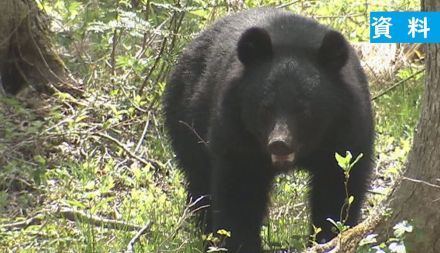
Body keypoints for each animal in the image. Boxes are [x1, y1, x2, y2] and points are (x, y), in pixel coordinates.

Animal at [163, 6, 372, 252]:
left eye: (303, 109)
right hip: (187, 117)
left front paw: (329, 238)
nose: (279, 143)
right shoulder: (236, 132)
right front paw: (240, 244)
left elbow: (337, 188)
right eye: (266, 108)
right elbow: (241, 193)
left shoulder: (345, 131)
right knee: (200, 181)